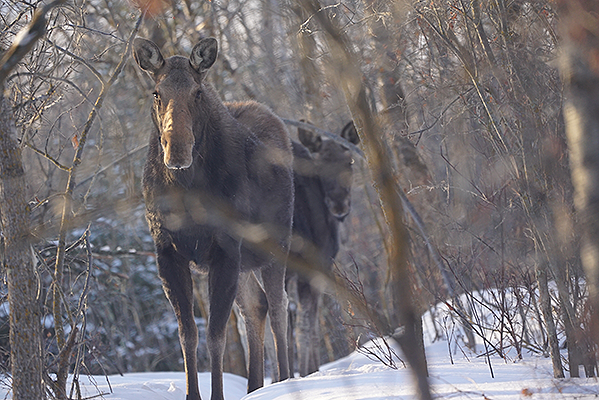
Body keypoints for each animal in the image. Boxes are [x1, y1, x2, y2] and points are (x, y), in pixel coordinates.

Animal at [133, 36, 292, 398]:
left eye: (197, 92)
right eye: (156, 92)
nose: (177, 148)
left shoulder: (225, 248)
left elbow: (215, 335)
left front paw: (217, 393)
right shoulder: (168, 252)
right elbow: (187, 334)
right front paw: (192, 393)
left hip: (276, 246)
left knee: (279, 307)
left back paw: (287, 379)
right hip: (246, 263)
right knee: (255, 307)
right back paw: (254, 386)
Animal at [290, 120, 360, 376]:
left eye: (350, 162)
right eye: (318, 165)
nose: (339, 206)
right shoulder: (315, 265)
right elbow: (309, 325)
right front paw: (309, 371)